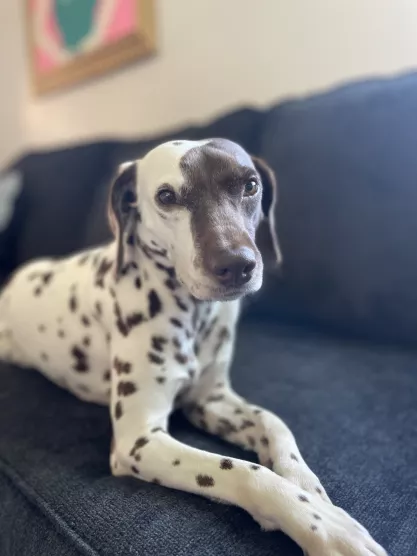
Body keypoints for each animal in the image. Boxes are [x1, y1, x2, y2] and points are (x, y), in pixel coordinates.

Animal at [0, 139, 386, 556]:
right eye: (167, 196)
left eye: (250, 185)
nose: (237, 265)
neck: (194, 315)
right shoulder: (140, 442)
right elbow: (245, 471)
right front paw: (324, 527)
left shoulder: (210, 401)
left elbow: (274, 423)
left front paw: (310, 490)